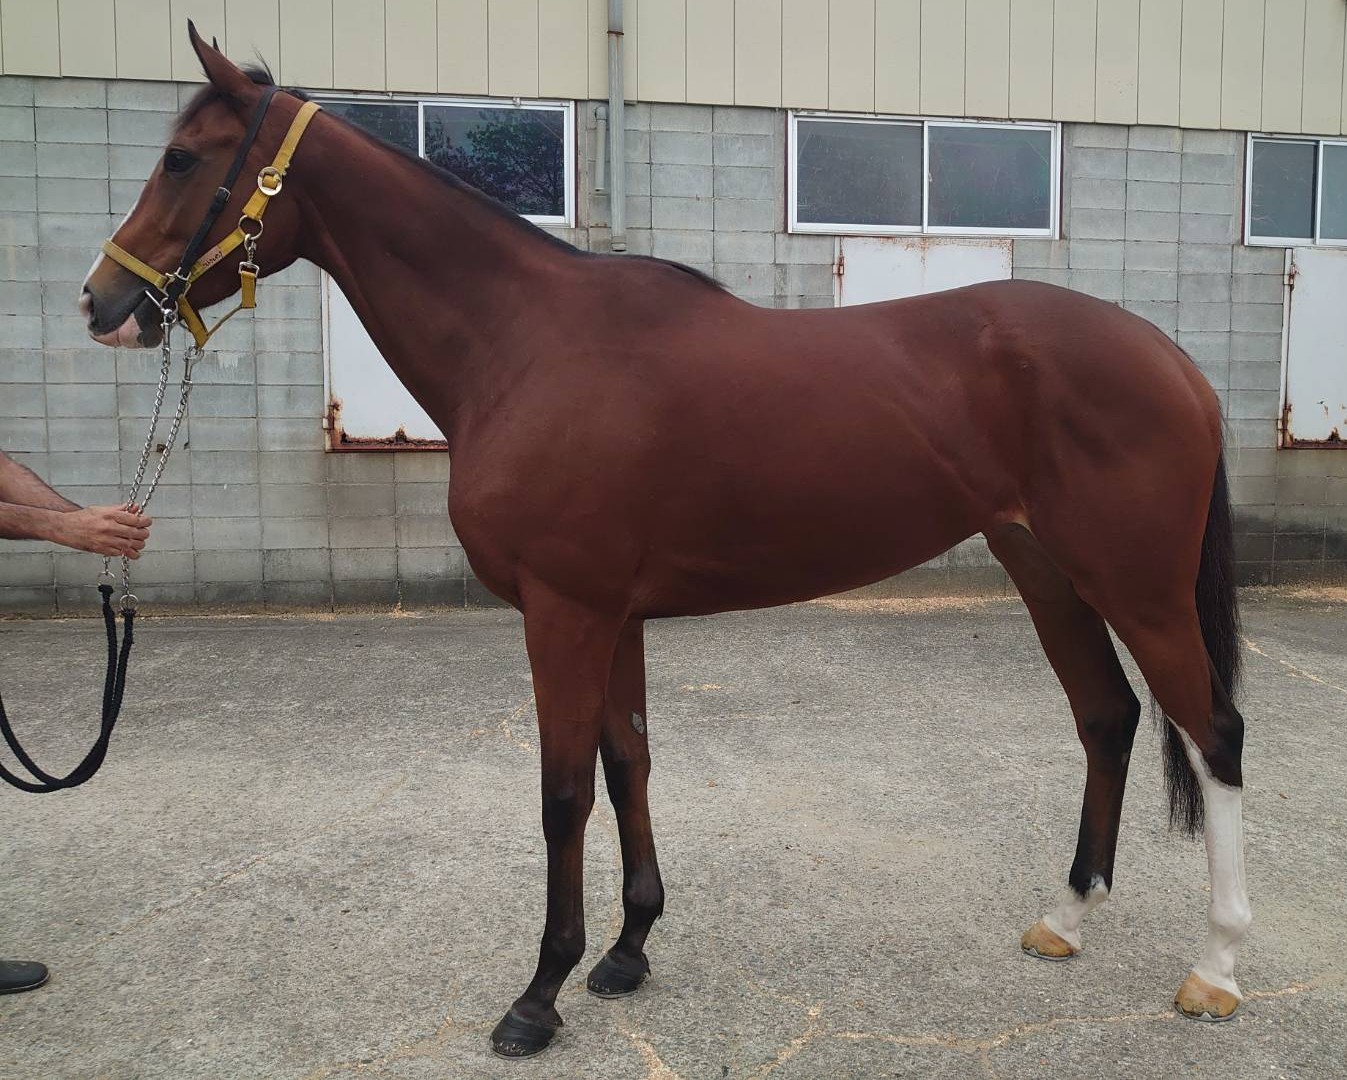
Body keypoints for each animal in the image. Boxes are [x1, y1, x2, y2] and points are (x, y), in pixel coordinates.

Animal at [78, 25, 1251, 1058]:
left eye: (184, 157)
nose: (102, 303)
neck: (526, 344)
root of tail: (1175, 364)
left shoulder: (564, 613)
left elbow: (562, 794)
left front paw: (539, 995)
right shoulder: (616, 616)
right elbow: (629, 761)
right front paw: (629, 949)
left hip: (1138, 587)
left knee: (1214, 733)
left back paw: (1217, 968)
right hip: (1046, 571)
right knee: (1107, 719)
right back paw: (1067, 919)